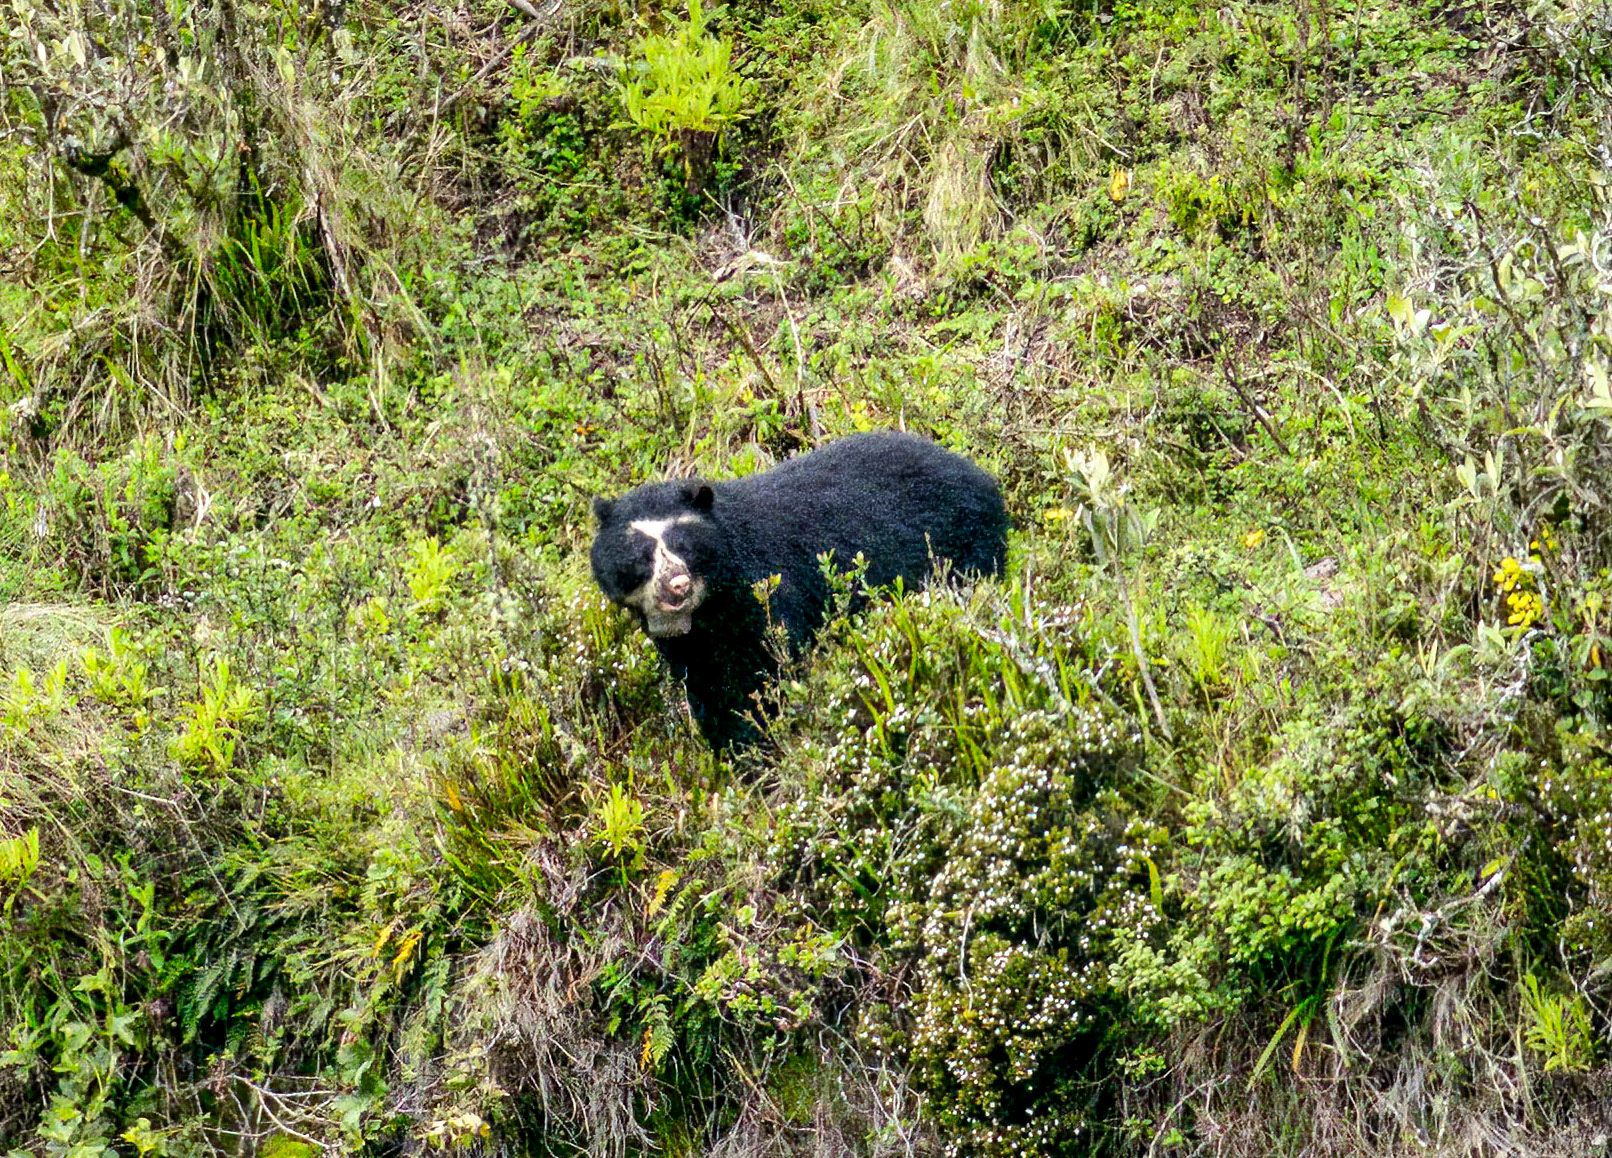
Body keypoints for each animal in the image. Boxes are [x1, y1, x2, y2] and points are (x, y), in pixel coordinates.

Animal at [590, 431, 1008, 750]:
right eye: (641, 556)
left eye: (685, 546)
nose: (677, 586)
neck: (712, 607)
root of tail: (984, 478)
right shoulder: (691, 641)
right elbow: (706, 684)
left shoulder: (767, 592)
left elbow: (764, 668)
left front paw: (759, 743)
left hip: (964, 547)